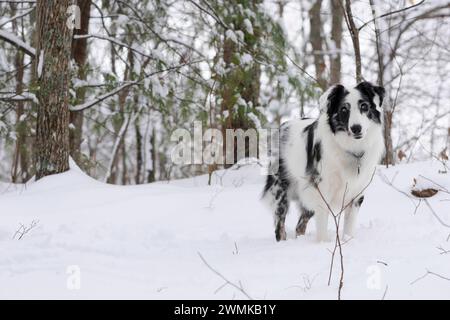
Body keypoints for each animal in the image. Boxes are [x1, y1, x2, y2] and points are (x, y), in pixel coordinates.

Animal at [262, 81, 384, 241]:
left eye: (364, 106)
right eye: (344, 109)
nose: (356, 128)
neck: (351, 148)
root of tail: (282, 126)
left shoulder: (356, 194)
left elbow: (349, 228)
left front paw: (347, 240)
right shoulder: (322, 192)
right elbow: (322, 230)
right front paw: (322, 244)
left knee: (300, 226)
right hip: (281, 191)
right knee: (279, 226)